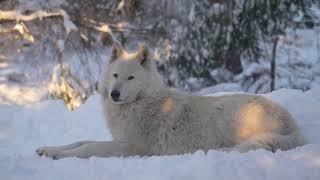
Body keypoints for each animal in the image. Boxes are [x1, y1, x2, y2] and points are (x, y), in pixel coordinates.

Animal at [36, 44, 304, 160]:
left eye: (130, 77)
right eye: (115, 75)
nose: (114, 94)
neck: (139, 103)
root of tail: (294, 126)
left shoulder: (131, 147)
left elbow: (87, 148)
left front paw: (59, 155)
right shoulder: (120, 139)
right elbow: (79, 141)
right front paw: (48, 149)